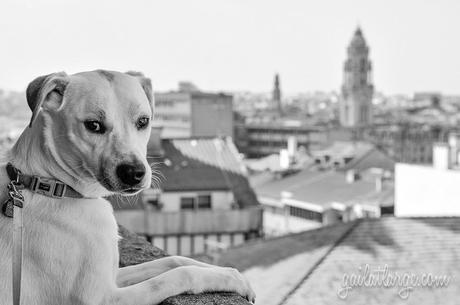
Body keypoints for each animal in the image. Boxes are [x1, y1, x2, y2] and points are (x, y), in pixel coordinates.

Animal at [0, 70, 255, 304]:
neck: (50, 184)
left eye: (143, 121)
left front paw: (233, 275)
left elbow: (173, 260)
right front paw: (229, 279)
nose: (134, 173)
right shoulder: (104, 298)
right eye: (93, 125)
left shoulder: (113, 276)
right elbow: (180, 275)